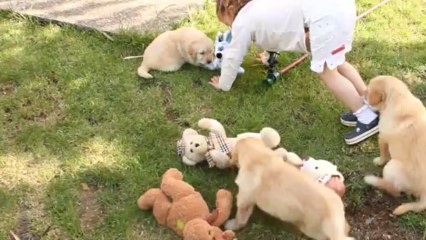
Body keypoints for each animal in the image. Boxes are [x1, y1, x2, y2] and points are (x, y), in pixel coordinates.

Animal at [364, 75, 426, 216]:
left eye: (368, 91)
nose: (362, 92)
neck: (400, 98)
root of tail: (424, 194)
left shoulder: (382, 137)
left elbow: (383, 153)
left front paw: (378, 161)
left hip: (391, 166)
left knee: (395, 191)